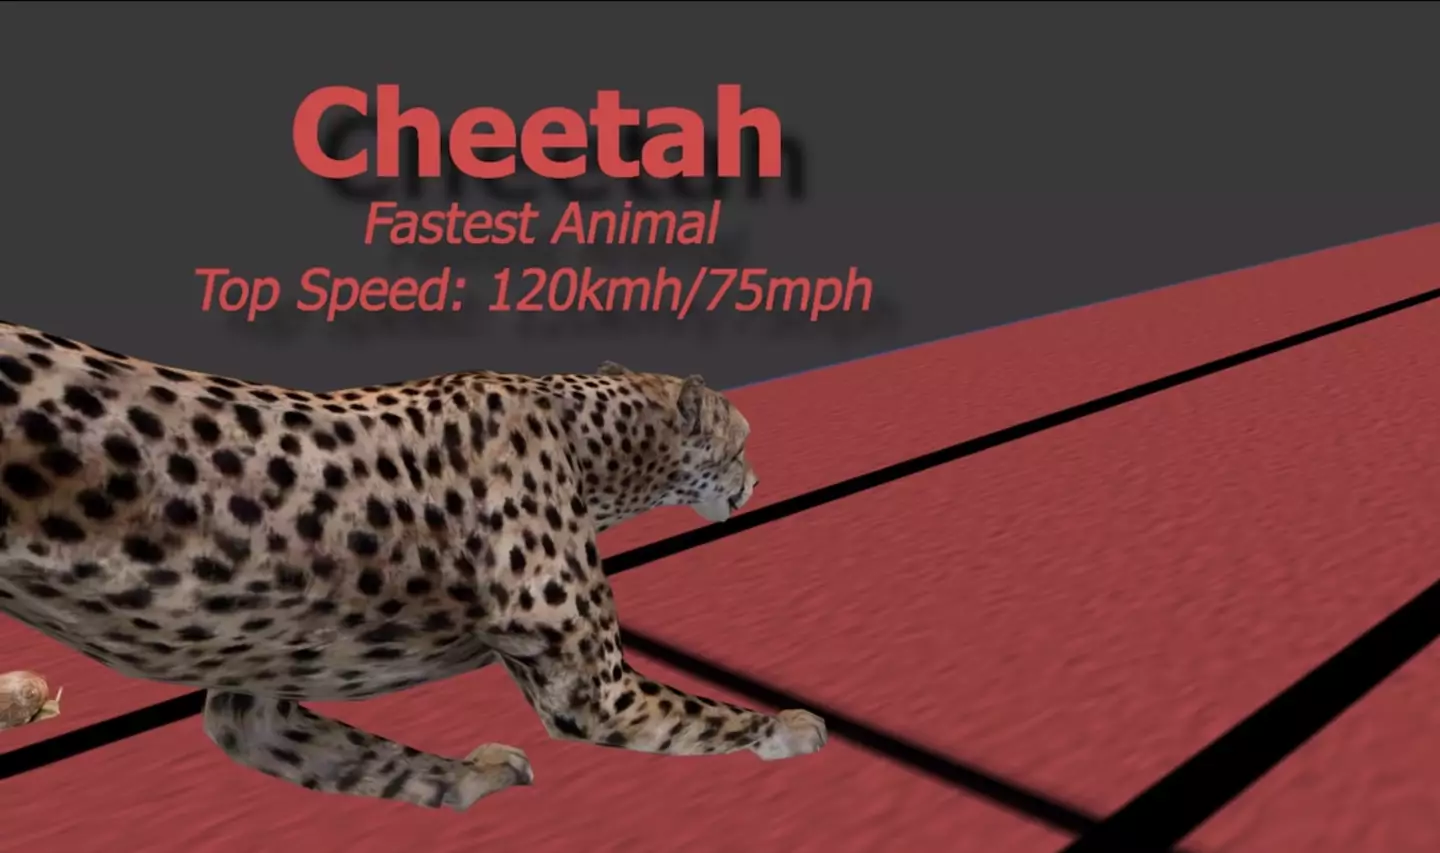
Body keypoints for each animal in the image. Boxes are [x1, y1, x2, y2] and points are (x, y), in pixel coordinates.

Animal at [0, 320, 827, 810]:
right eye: (742, 443)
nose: (758, 481)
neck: (591, 444)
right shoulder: (597, 691)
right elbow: (707, 712)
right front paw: (787, 724)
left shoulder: (253, 699)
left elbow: (360, 760)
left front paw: (472, 777)